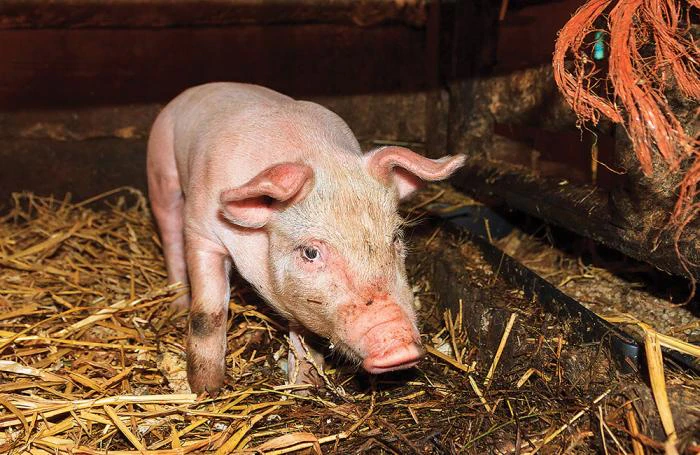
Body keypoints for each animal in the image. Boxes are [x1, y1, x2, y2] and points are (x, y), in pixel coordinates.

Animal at [147, 82, 465, 395]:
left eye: (396, 238)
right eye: (310, 252)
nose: (399, 343)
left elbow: (303, 331)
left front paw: (305, 387)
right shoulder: (202, 231)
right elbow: (208, 313)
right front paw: (206, 390)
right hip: (160, 167)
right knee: (170, 233)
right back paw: (177, 307)